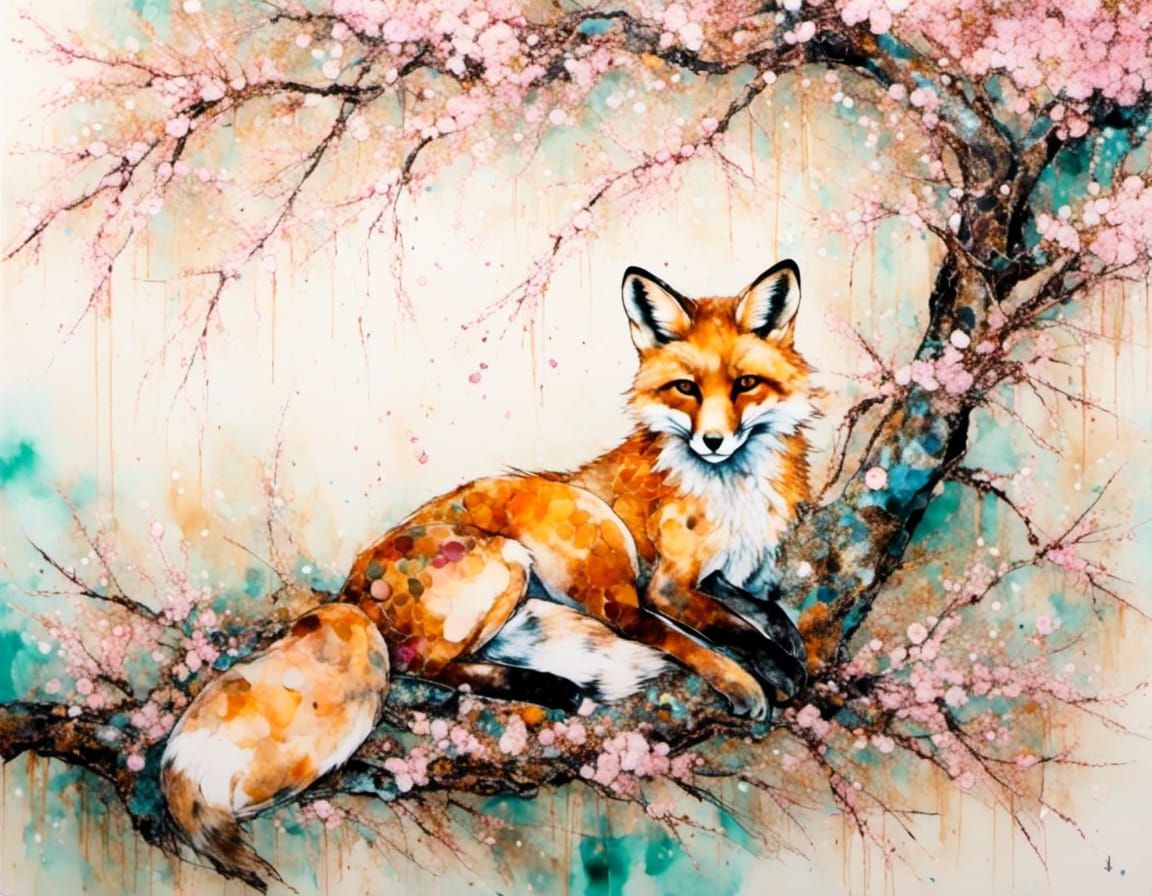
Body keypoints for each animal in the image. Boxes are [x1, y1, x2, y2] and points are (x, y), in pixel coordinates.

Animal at [160, 259, 816, 890]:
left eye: (745, 384)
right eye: (685, 388)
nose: (713, 441)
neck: (730, 493)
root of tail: (349, 594)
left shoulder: (719, 575)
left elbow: (760, 611)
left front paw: (788, 649)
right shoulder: (658, 589)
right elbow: (713, 636)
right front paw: (754, 681)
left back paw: (547, 685)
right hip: (517, 561)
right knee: (426, 666)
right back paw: (549, 687)